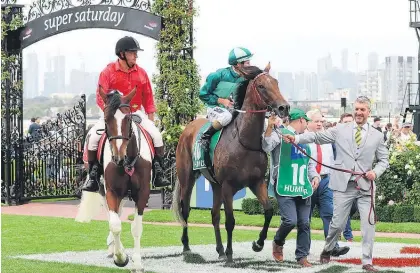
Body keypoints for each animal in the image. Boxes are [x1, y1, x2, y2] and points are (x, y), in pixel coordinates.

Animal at [76, 87, 152, 272]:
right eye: (106, 119)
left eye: (128, 119)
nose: (118, 157)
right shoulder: (111, 191)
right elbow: (115, 224)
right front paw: (120, 257)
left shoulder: (142, 193)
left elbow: (136, 227)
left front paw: (137, 263)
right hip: (104, 191)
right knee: (113, 216)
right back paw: (113, 248)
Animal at [172, 65, 290, 262]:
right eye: (261, 86)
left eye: (276, 82)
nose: (284, 107)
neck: (244, 141)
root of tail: (187, 128)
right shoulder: (228, 186)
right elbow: (230, 221)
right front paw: (229, 253)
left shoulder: (257, 182)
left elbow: (268, 211)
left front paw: (258, 244)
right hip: (187, 178)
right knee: (185, 210)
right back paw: (187, 246)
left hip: (215, 184)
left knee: (214, 214)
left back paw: (219, 249)